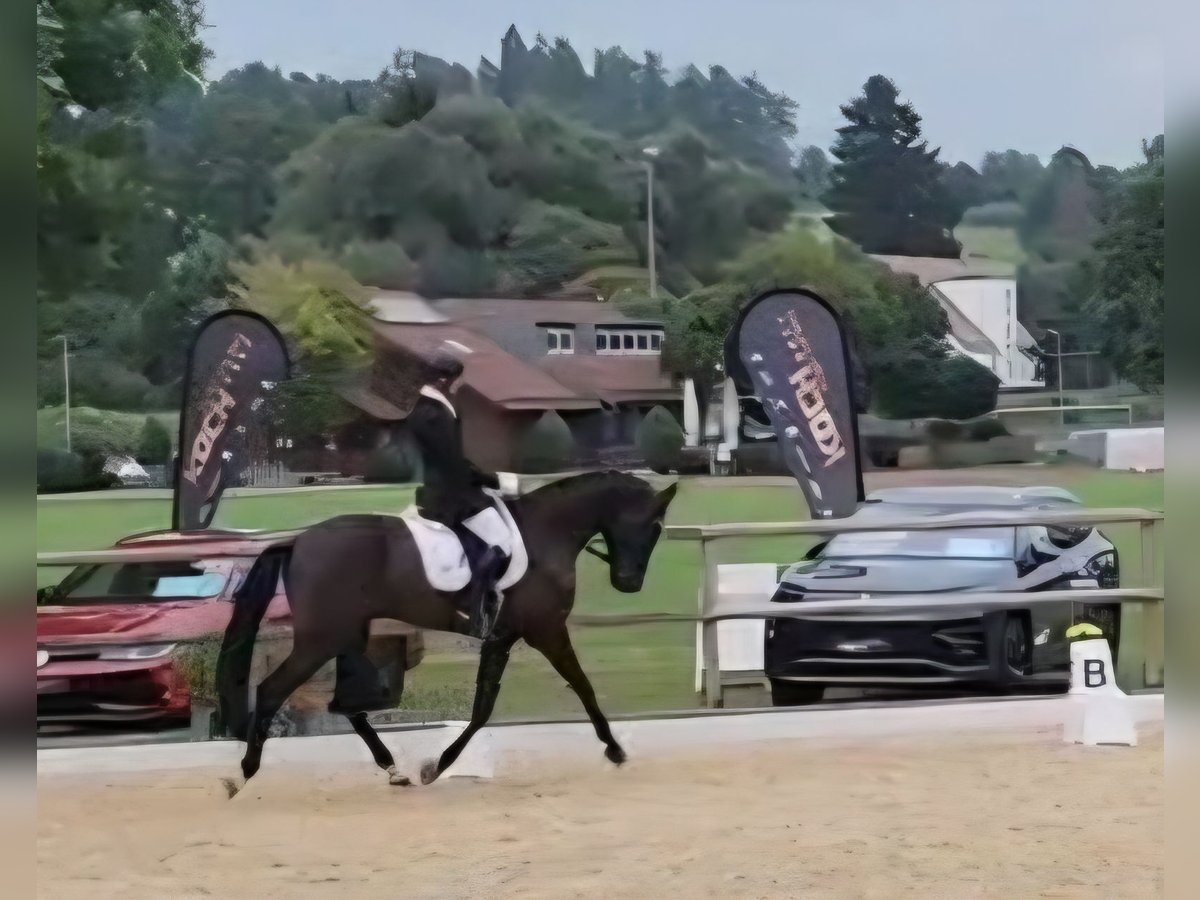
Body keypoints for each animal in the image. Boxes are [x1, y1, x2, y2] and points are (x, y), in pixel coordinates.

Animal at [216, 469, 678, 791]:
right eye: (653, 526)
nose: (629, 583)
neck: (545, 536)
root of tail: (297, 542)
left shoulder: (502, 637)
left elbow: (483, 708)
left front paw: (433, 767)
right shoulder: (545, 631)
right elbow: (581, 686)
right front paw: (614, 749)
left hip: (348, 635)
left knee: (347, 706)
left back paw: (393, 770)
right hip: (319, 641)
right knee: (273, 692)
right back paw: (242, 775)